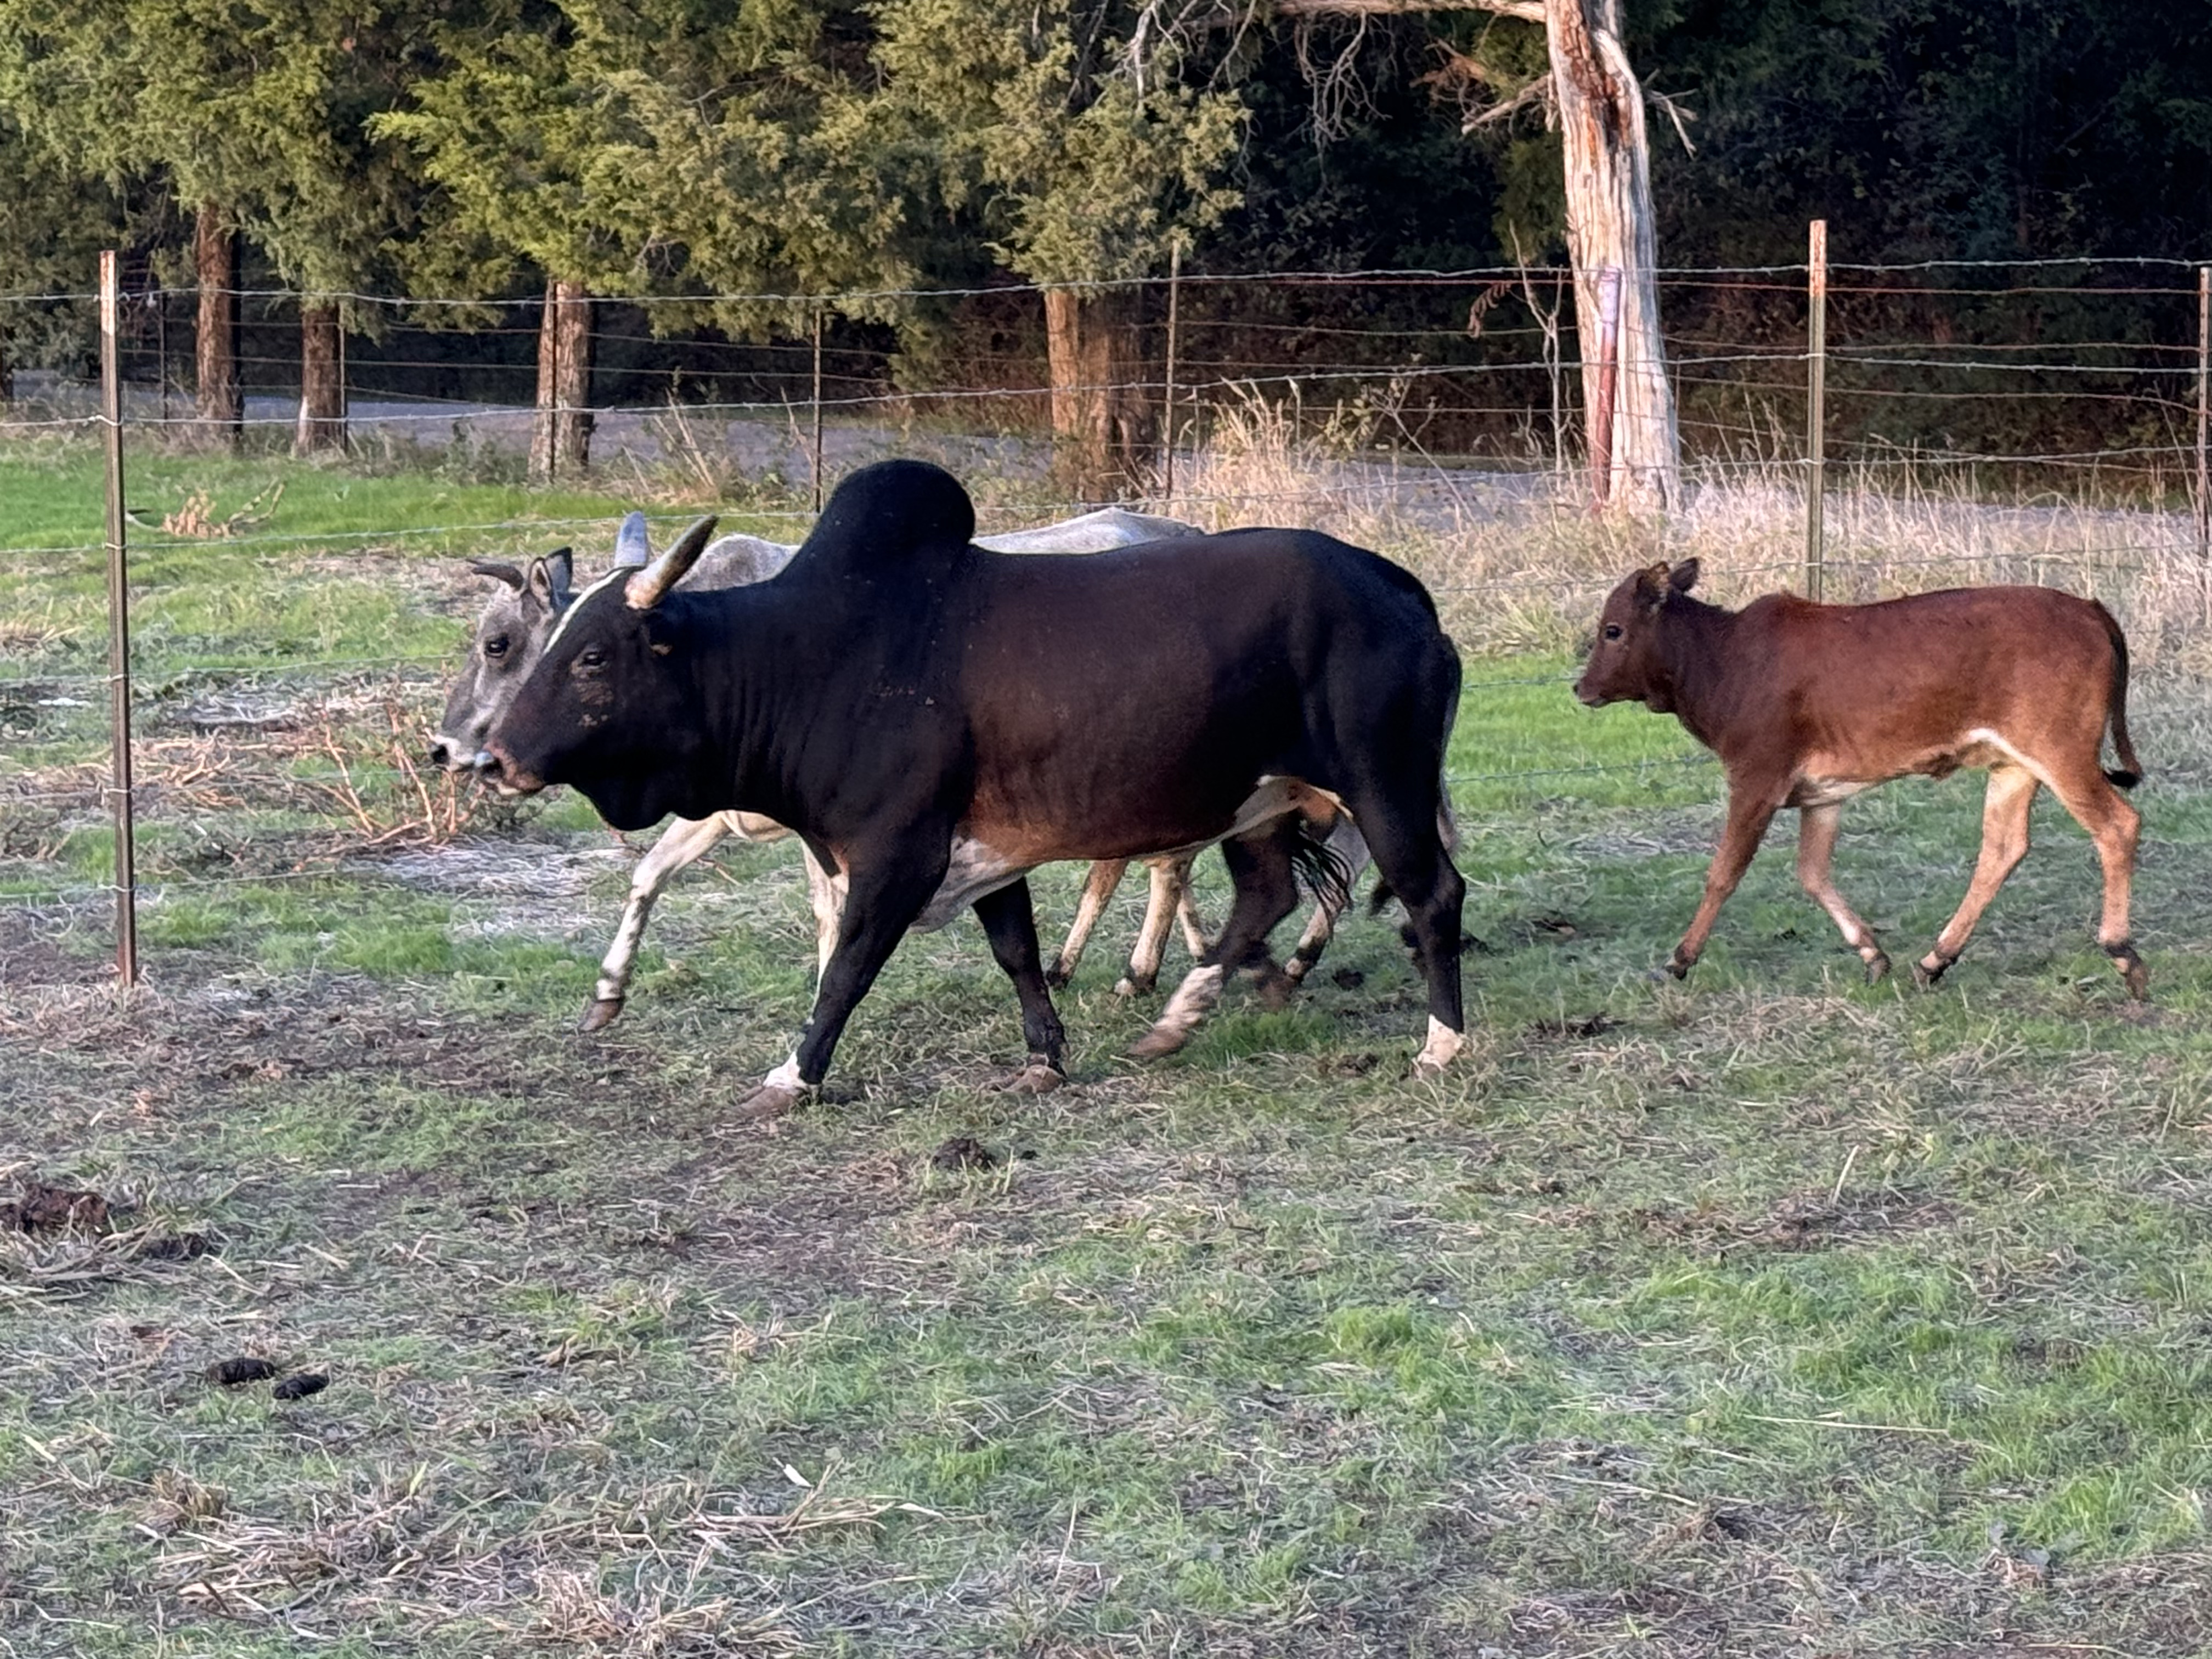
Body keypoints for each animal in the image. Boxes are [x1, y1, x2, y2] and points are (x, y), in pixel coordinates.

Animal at [479, 469, 1469, 1119]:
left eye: (593, 655)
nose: (493, 756)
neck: (810, 661)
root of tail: (1403, 590)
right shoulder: (986, 850)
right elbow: (1018, 953)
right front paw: (1044, 1058)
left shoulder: (899, 853)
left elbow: (847, 968)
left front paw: (793, 1075)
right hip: (1258, 803)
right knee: (1264, 897)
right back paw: (1179, 1016)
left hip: (1383, 782)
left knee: (1433, 893)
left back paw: (1440, 1044)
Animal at [1575, 560, 2141, 1000]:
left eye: (1613, 630)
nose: (1581, 688)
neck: (1721, 664)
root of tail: (2090, 608)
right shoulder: (1822, 794)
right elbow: (1812, 872)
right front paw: (1872, 954)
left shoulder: (1757, 777)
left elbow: (1724, 873)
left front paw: (1679, 959)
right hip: (2013, 765)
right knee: (2002, 850)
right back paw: (1934, 960)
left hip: (2060, 750)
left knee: (2117, 825)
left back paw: (2121, 950)